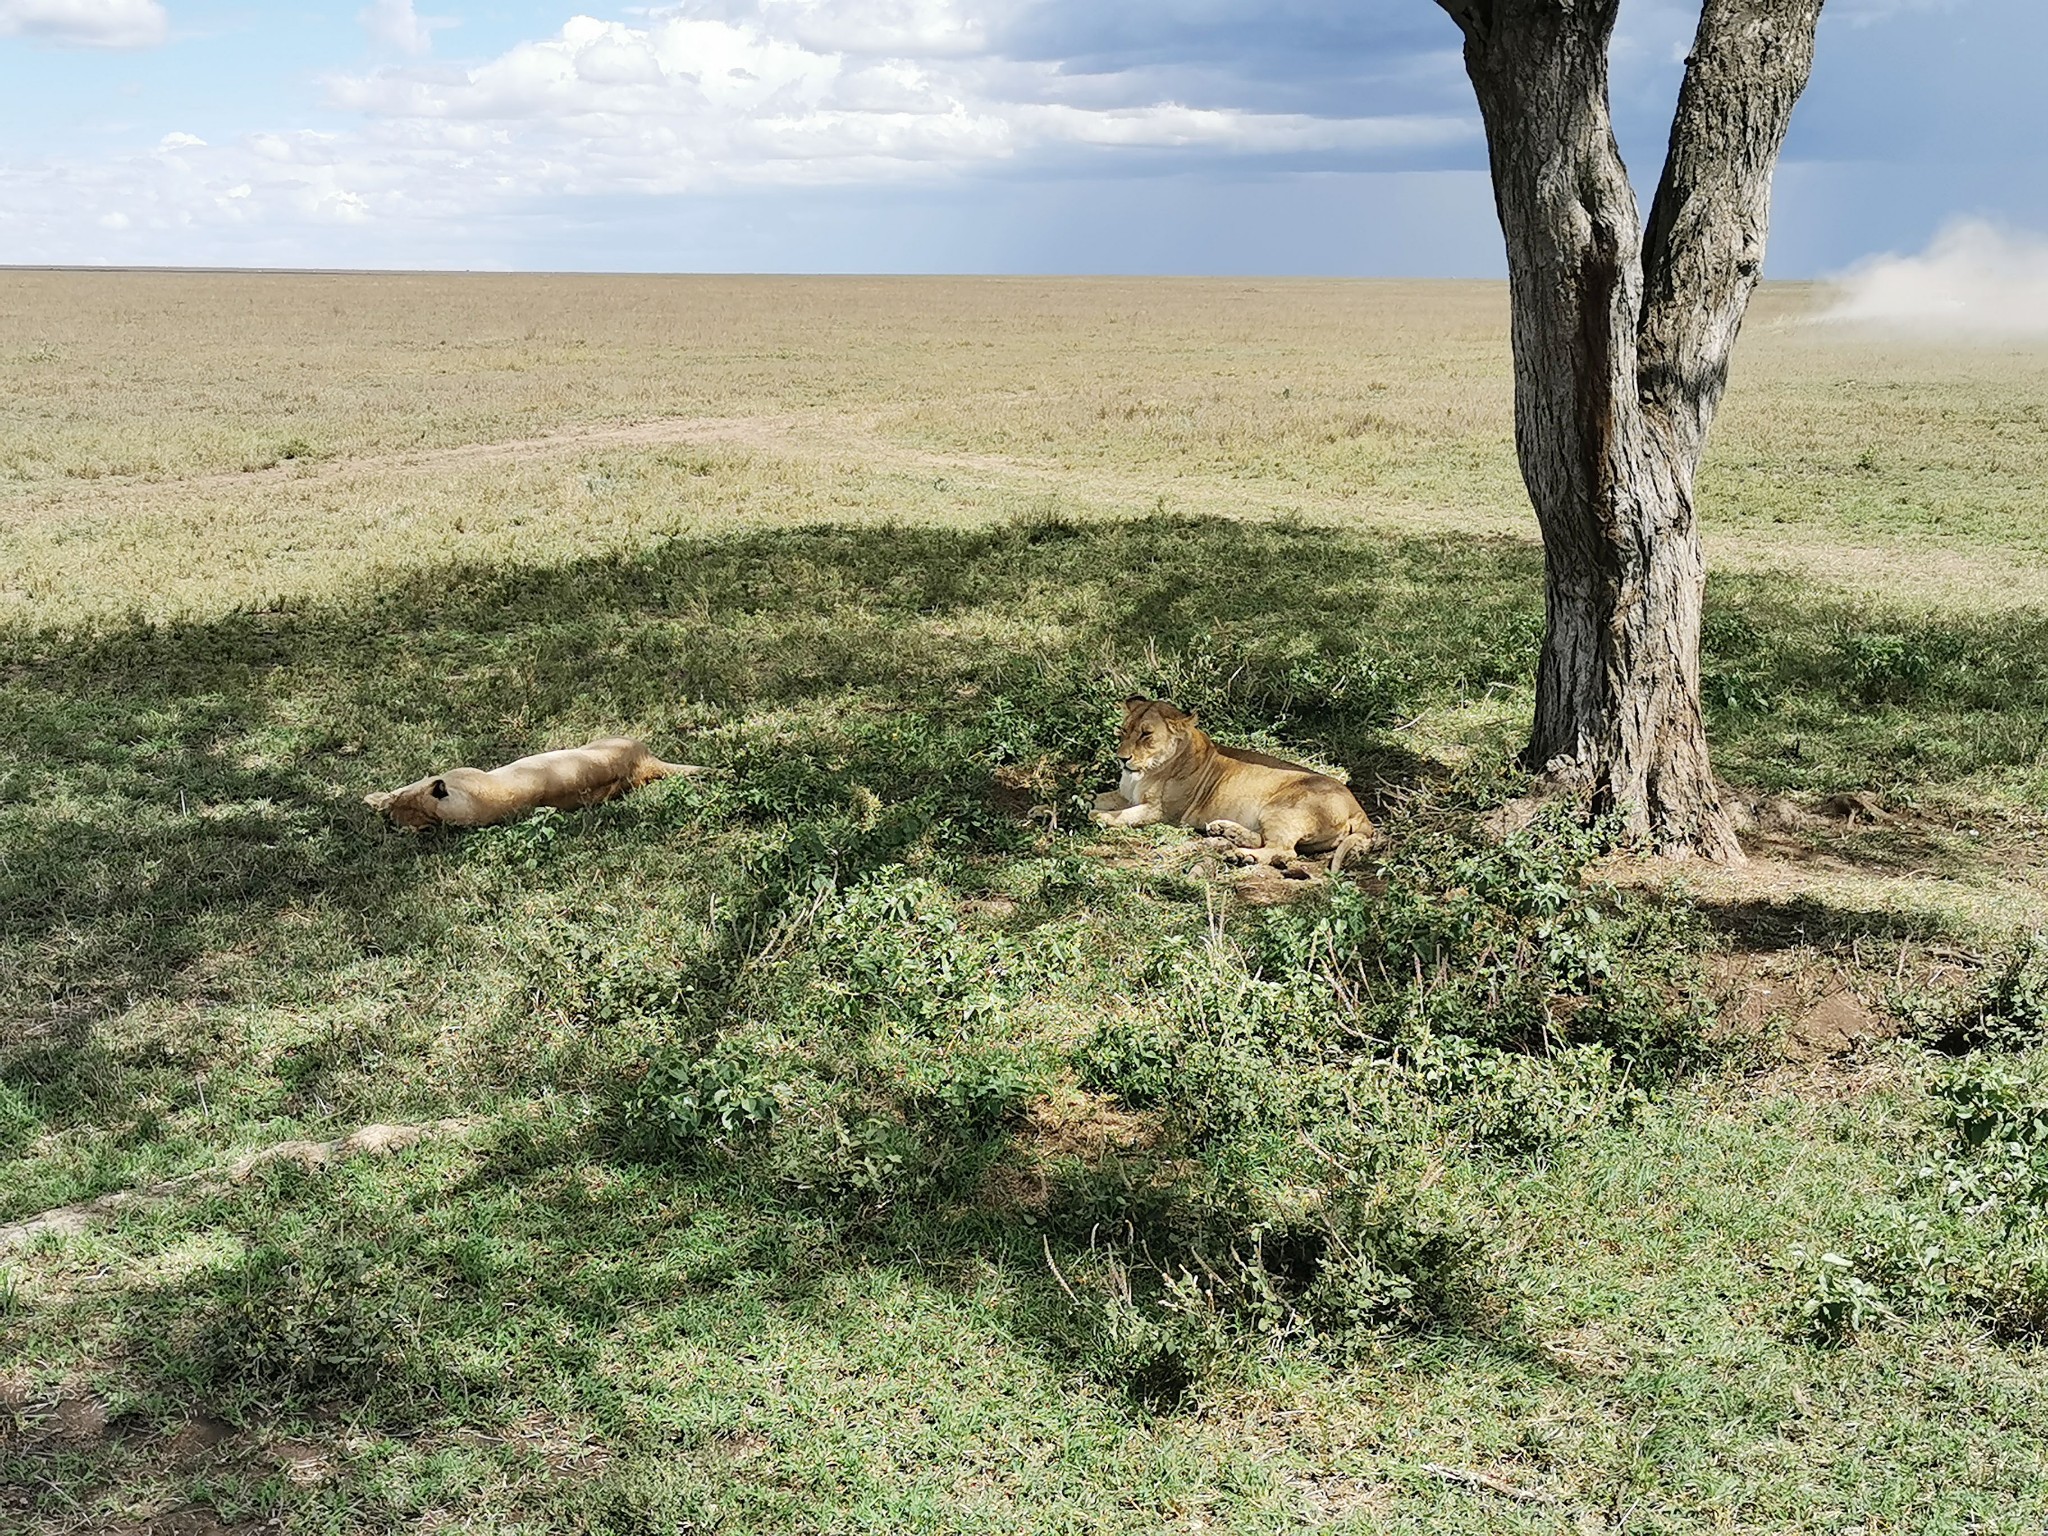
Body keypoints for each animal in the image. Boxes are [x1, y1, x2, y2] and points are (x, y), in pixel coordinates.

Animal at [1089, 700, 1376, 872]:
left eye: (1146, 735)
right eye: (1123, 731)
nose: (1122, 758)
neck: (1144, 773)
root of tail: (1358, 808)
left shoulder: (1162, 812)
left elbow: (1123, 816)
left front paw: (1097, 817)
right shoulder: (1125, 795)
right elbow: (1097, 797)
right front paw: (1081, 802)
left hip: (1283, 807)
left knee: (1283, 850)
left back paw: (1242, 855)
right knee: (1270, 841)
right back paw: (1227, 831)